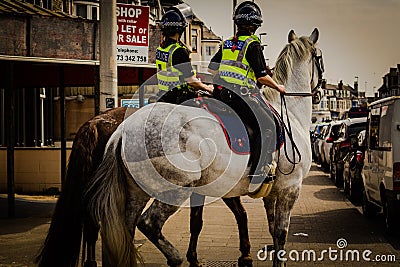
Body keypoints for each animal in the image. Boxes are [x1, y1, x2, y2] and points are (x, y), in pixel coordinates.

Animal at [85, 28, 324, 266]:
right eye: (319, 58)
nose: (320, 93)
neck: (290, 114)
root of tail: (123, 130)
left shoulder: (272, 192)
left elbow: (272, 231)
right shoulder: (290, 188)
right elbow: (281, 233)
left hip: (137, 190)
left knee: (128, 227)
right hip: (177, 187)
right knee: (149, 224)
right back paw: (175, 257)